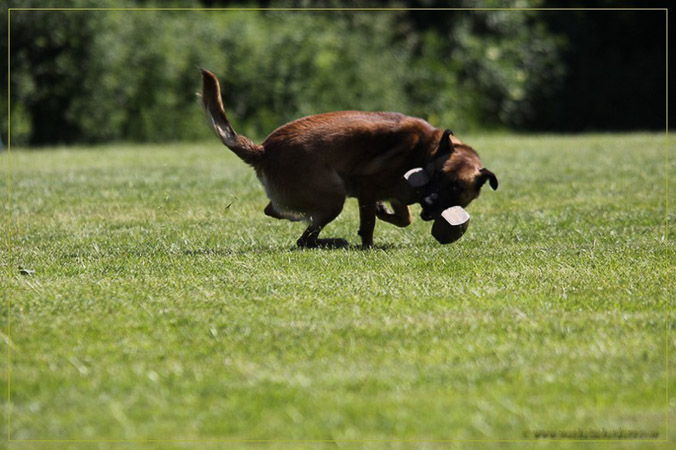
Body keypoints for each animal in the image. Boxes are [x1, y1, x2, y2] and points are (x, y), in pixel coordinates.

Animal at [197, 68, 496, 248]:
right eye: (438, 176)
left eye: (455, 186)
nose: (430, 202)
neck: (425, 151)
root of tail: (264, 150)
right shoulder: (367, 187)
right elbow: (370, 223)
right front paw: (368, 243)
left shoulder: (396, 196)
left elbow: (404, 217)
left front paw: (384, 212)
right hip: (334, 197)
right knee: (303, 237)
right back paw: (331, 240)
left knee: (275, 211)